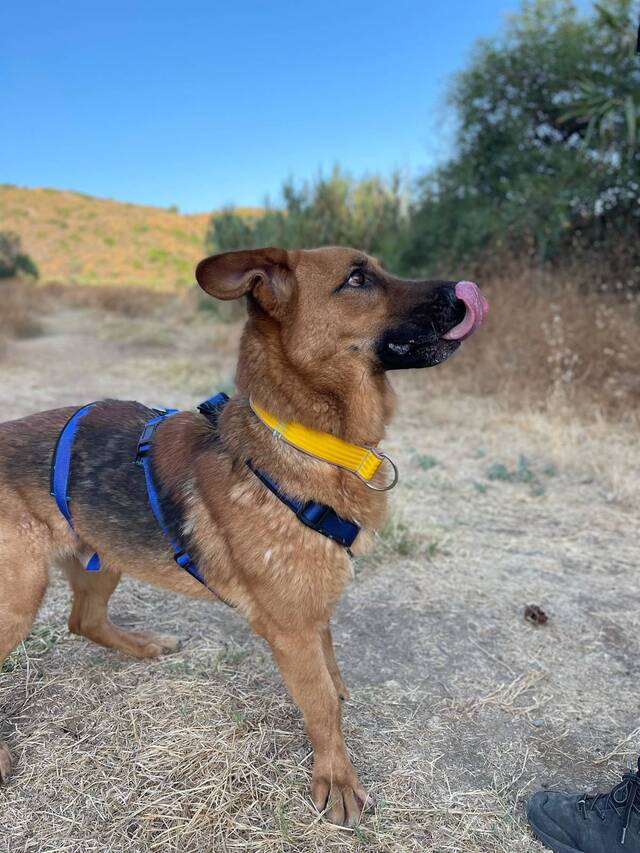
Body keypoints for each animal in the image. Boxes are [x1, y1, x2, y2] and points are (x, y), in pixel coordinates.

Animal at [0, 247, 487, 826]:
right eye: (357, 279)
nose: (466, 290)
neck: (305, 440)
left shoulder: (312, 608)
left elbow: (332, 675)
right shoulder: (292, 628)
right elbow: (321, 703)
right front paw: (337, 778)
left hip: (104, 556)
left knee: (84, 620)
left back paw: (142, 645)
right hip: (20, 594)